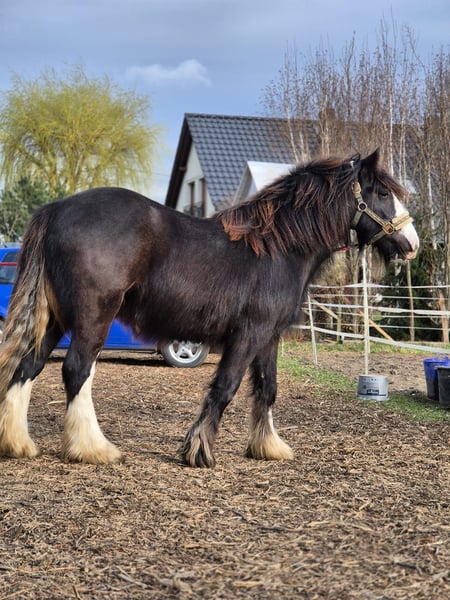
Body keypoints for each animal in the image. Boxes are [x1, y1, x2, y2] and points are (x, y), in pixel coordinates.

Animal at [0, 149, 419, 468]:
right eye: (383, 192)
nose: (412, 244)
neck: (278, 249)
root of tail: (57, 208)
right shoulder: (248, 335)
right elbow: (225, 387)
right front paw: (198, 451)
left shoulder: (269, 337)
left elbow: (267, 389)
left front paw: (268, 447)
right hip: (93, 315)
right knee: (76, 370)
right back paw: (94, 448)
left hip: (56, 318)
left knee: (27, 366)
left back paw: (17, 443)